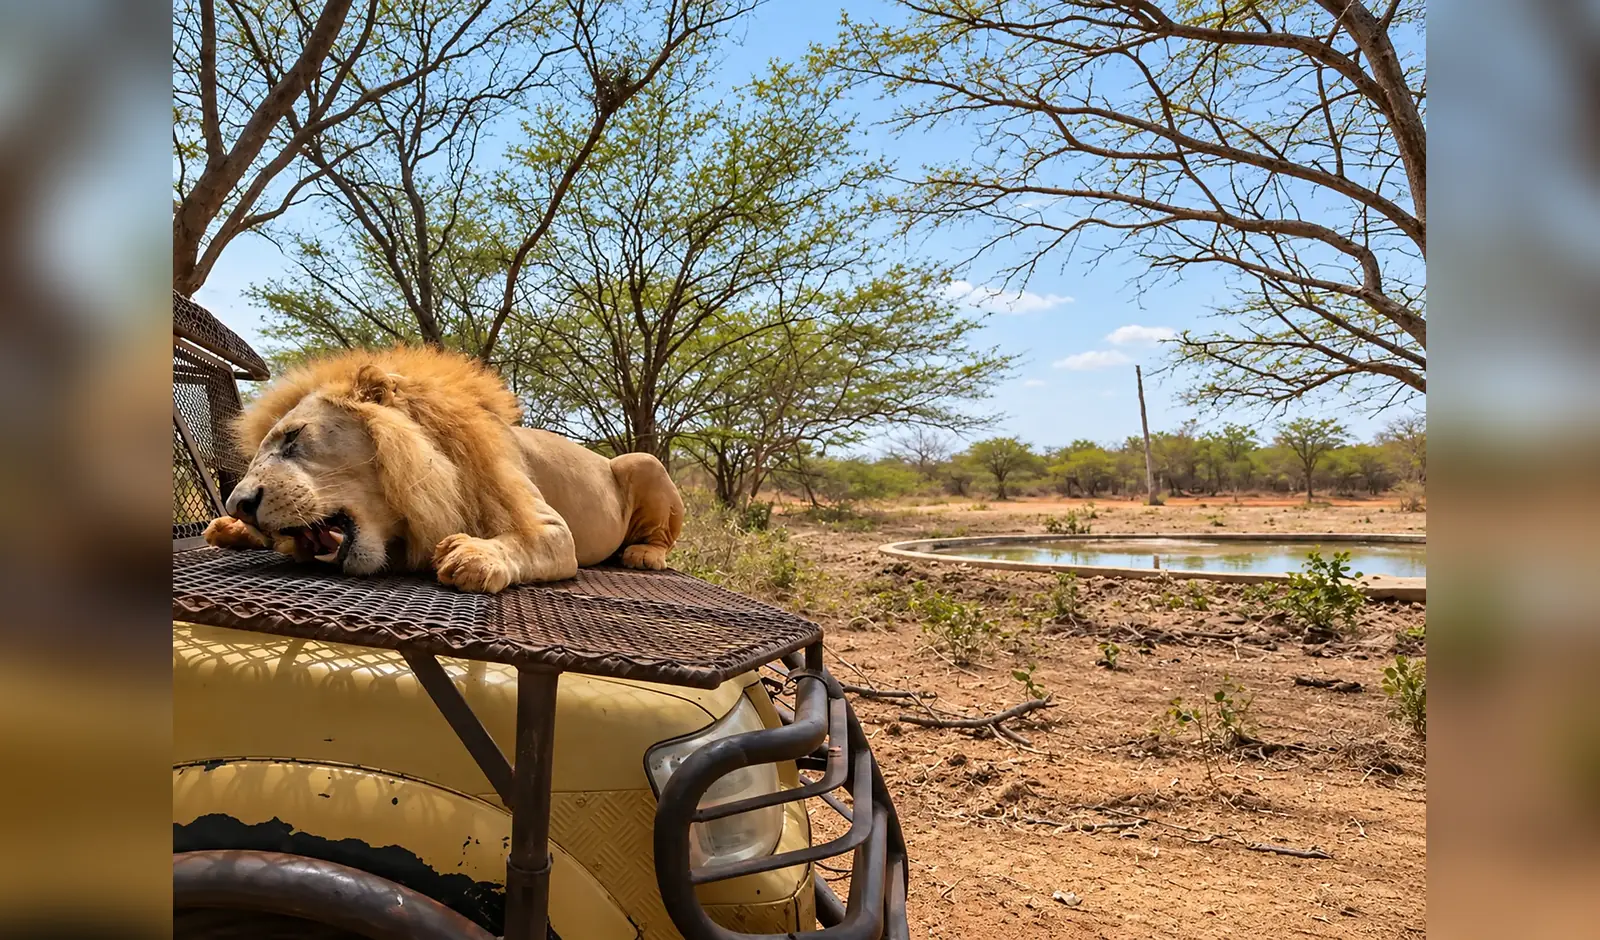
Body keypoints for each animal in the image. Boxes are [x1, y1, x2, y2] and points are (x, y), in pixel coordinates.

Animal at [202, 346, 683, 593]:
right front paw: (232, 528)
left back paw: (644, 554)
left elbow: (527, 540)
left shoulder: (553, 529)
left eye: (293, 437)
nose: (239, 504)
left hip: (643, 461)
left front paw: (474, 555)